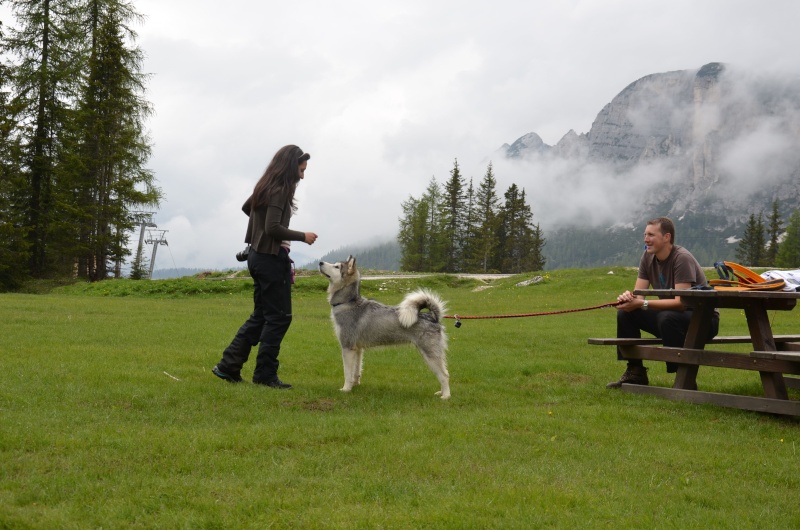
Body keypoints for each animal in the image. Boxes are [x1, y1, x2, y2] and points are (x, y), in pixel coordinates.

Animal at [318, 255, 450, 396]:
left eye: (336, 266)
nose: (320, 262)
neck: (348, 302)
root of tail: (432, 317)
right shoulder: (358, 349)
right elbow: (356, 371)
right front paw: (355, 385)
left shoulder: (347, 347)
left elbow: (347, 373)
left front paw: (346, 389)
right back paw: (441, 393)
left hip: (430, 354)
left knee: (444, 374)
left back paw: (446, 396)